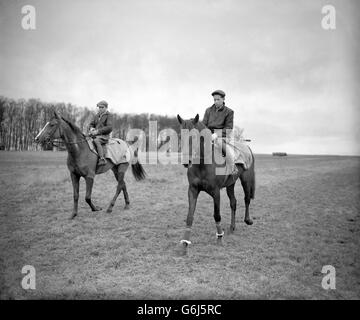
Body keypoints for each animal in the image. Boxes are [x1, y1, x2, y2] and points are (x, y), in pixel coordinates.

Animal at [176, 114, 255, 254]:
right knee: (233, 202)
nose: (186, 162)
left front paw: (219, 239)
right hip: (231, 184)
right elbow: (190, 216)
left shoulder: (216, 192)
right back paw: (232, 227)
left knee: (246, 199)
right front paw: (184, 244)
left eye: (194, 137)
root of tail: (246, 147)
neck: (203, 164)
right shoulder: (192, 190)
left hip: (246, 179)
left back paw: (248, 220)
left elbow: (217, 215)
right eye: (181, 136)